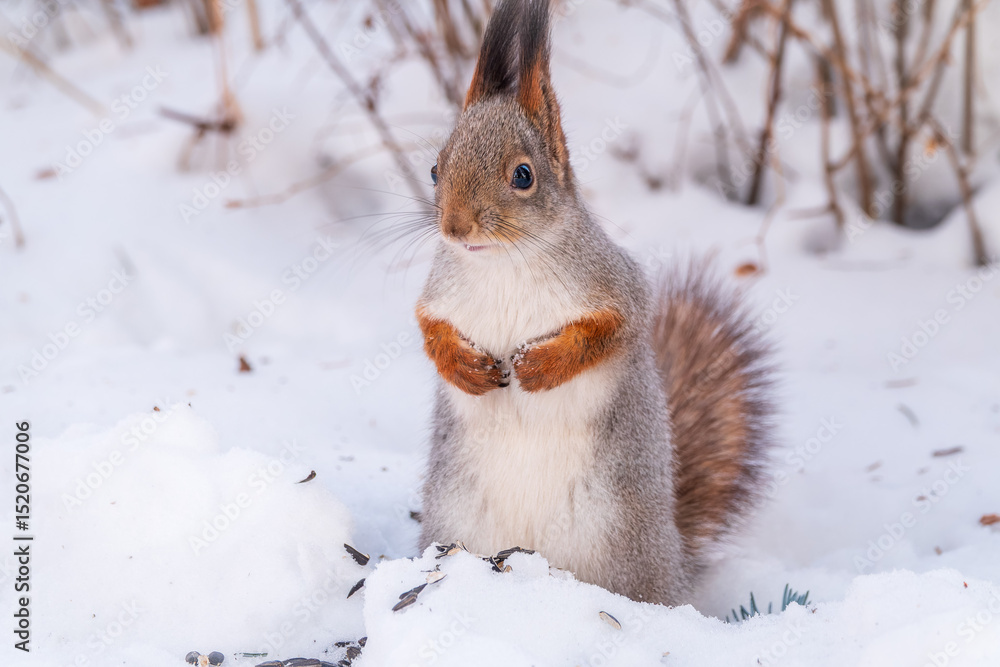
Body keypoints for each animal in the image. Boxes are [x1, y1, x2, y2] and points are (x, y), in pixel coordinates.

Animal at [414, 0, 773, 606]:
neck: (502, 264)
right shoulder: (440, 294)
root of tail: (673, 561)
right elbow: (429, 329)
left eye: (523, 175)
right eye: (436, 169)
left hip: (618, 547)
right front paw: (463, 368)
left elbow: (610, 330)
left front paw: (542, 366)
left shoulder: (617, 286)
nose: (455, 227)